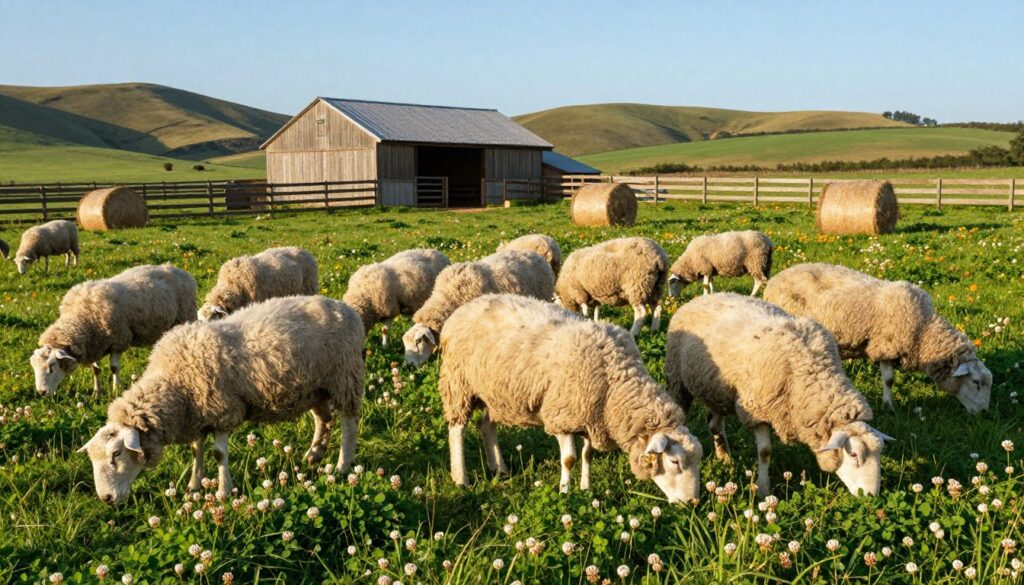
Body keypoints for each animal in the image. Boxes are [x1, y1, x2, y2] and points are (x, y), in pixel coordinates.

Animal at [32, 264, 197, 398]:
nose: (41, 392)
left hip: (185, 316)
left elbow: (114, 368)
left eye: (52, 366)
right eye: (34, 368)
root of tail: (179, 270)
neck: (82, 318)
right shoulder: (95, 344)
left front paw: (116, 389)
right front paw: (96, 392)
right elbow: (95, 370)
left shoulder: (118, 341)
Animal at [78, 295, 365, 504]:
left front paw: (223, 491)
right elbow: (196, 451)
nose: (106, 498)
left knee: (348, 424)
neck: (175, 383)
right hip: (314, 389)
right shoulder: (197, 415)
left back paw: (342, 465)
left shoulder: (222, 411)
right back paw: (315, 454)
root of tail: (346, 308)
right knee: (323, 419)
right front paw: (194, 485)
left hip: (344, 377)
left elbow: (218, 454)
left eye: (116, 454)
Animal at [439, 294, 703, 503]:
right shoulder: (562, 416)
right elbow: (569, 459)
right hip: (459, 384)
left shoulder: (590, 418)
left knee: (486, 426)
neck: (614, 381)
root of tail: (466, 306)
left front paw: (586, 488)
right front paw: (565, 492)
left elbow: (587, 455)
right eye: (675, 462)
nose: (693, 502)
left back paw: (499, 468)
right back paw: (461, 477)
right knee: (457, 430)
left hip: (497, 394)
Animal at [665, 293, 894, 496]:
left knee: (714, 424)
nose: (871, 496)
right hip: (678, 381)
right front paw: (763, 489)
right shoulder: (756, 410)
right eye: (854, 454)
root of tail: (703, 297)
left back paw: (725, 458)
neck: (808, 369)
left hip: (715, 390)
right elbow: (765, 452)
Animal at [762, 263, 992, 413]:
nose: (984, 413)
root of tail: (774, 280)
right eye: (975, 382)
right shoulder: (885, 346)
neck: (923, 331)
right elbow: (889, 380)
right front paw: (888, 405)